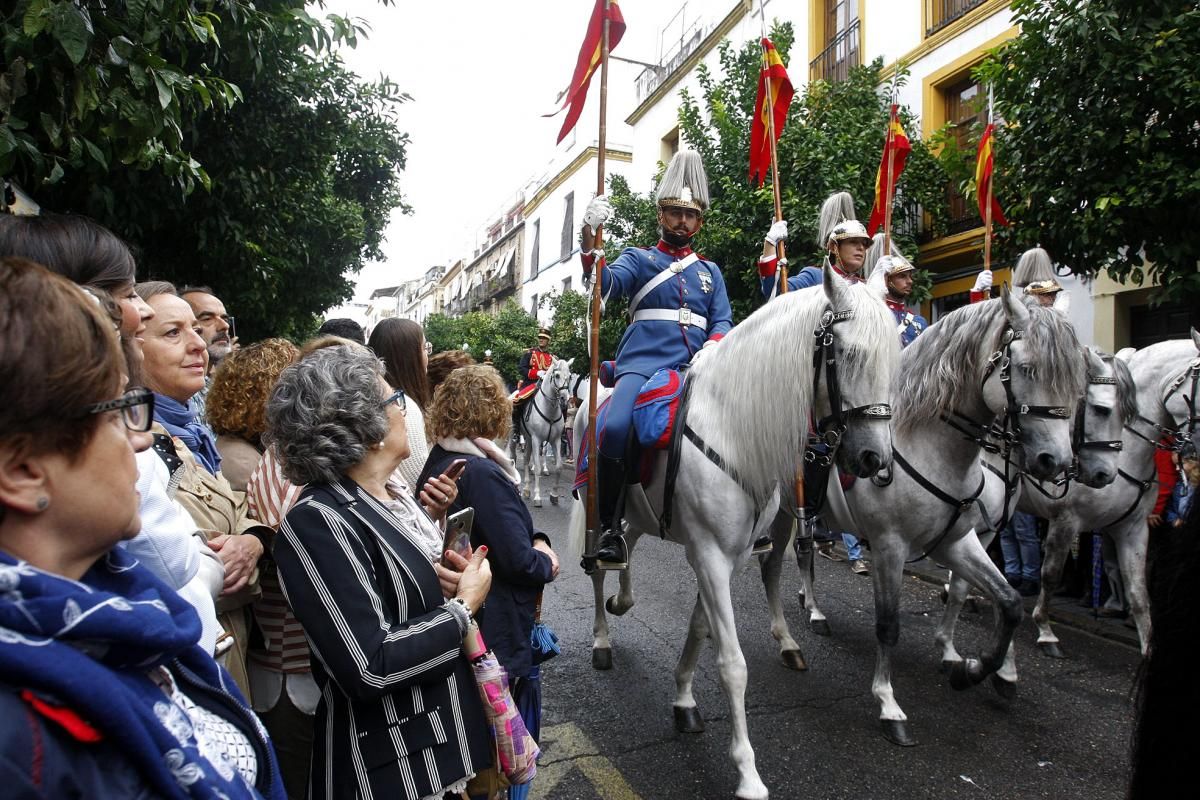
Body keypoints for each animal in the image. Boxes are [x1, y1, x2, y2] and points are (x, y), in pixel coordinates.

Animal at [516, 357, 571, 506]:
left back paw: (526, 489)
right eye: (556, 375)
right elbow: (538, 468)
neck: (550, 410)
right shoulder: (537, 439)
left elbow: (558, 466)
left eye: (570, 376)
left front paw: (554, 495)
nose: (565, 399)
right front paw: (537, 497)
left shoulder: (555, 440)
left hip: (528, 439)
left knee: (526, 458)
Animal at [566, 266, 897, 796]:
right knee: (597, 568)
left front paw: (683, 698)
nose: (874, 460)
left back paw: (623, 599)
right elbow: (732, 663)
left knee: (626, 547)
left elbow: (701, 631)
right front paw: (747, 772)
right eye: (846, 353)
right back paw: (601, 637)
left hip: (637, 513)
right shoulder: (710, 556)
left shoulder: (729, 555)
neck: (733, 426)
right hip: (595, 507)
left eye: (893, 360)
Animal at [758, 291, 1089, 748]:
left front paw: (976, 669)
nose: (1055, 462)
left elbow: (1004, 602)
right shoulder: (889, 547)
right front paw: (888, 703)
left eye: (1075, 377)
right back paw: (792, 638)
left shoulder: (961, 539)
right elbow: (888, 625)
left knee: (803, 554)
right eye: (1026, 368)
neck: (930, 444)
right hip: (781, 514)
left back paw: (813, 610)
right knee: (774, 566)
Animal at [931, 345, 1137, 662]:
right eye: (1101, 410)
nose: (1104, 474)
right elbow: (1046, 573)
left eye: (1128, 415)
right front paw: (1043, 633)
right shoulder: (1064, 520)